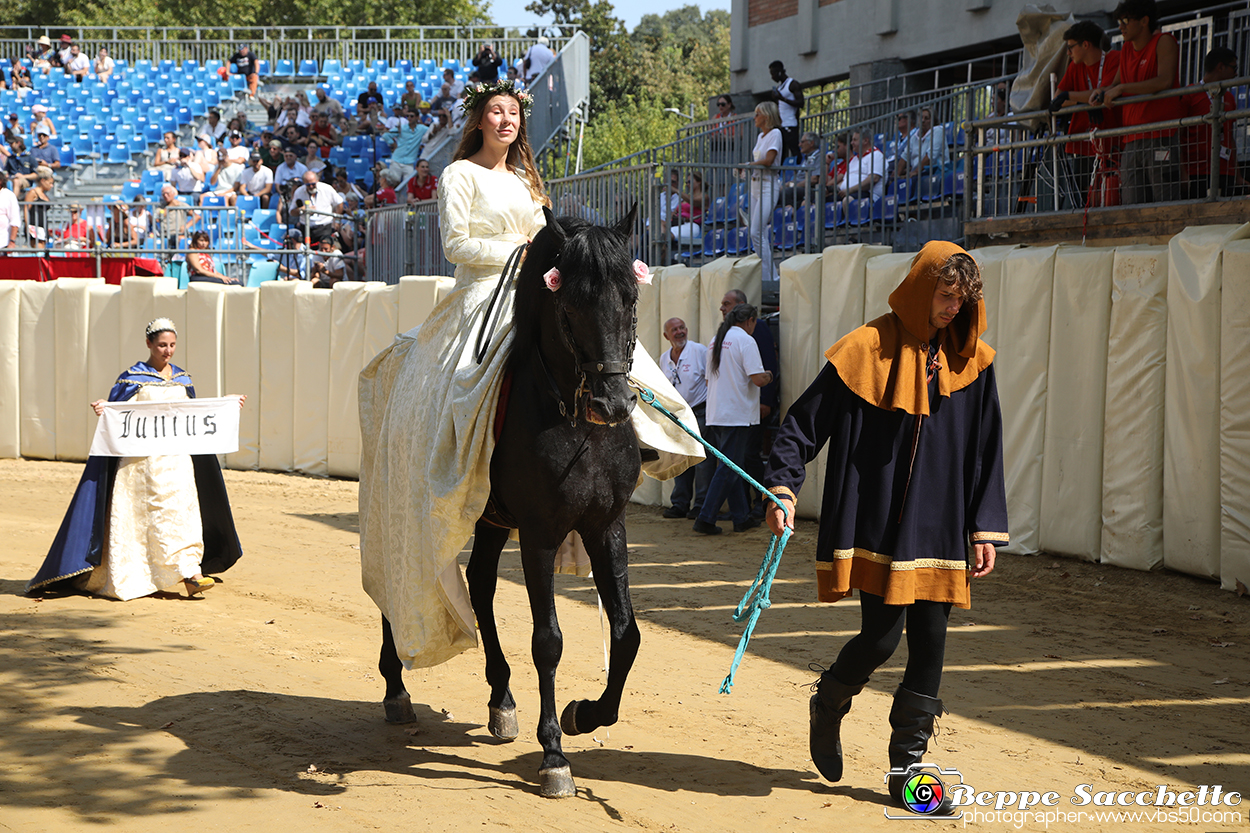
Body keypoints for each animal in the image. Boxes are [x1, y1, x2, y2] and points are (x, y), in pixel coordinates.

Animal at [377, 203, 645, 795]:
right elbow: (548, 641)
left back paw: (501, 698)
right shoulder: (541, 535)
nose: (613, 404)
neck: (575, 424)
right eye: (571, 304)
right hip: (400, 499)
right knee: (393, 583)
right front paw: (554, 756)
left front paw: (584, 714)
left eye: (630, 298)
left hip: (490, 519)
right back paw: (395, 689)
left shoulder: (606, 526)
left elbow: (626, 634)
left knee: (478, 583)